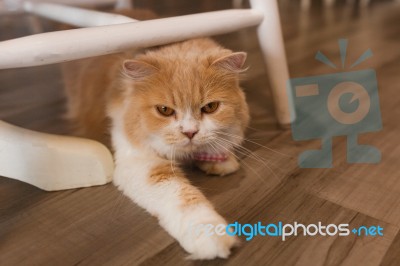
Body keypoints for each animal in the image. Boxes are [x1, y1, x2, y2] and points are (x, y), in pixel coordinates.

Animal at [63, 38, 250, 258]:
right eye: (164, 110)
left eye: (210, 107)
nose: (190, 132)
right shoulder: (140, 163)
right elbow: (183, 198)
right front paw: (210, 235)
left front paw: (221, 160)